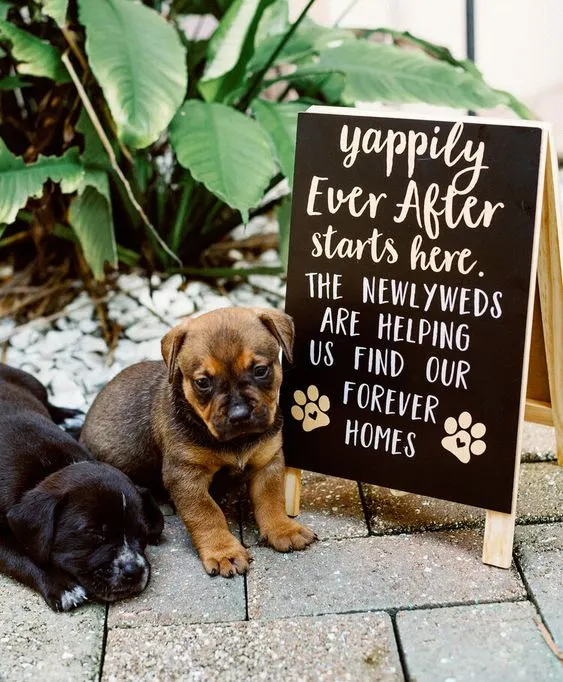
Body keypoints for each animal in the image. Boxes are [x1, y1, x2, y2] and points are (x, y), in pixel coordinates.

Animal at [0, 364, 164, 608]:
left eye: (141, 531)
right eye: (94, 534)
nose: (133, 571)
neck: (47, 471)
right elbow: (24, 556)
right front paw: (63, 586)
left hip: (32, 382)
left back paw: (71, 417)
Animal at [81, 306, 316, 572]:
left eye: (260, 370)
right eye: (203, 382)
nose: (239, 414)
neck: (235, 441)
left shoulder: (268, 461)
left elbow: (272, 499)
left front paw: (283, 529)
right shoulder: (186, 475)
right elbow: (206, 514)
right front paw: (223, 551)